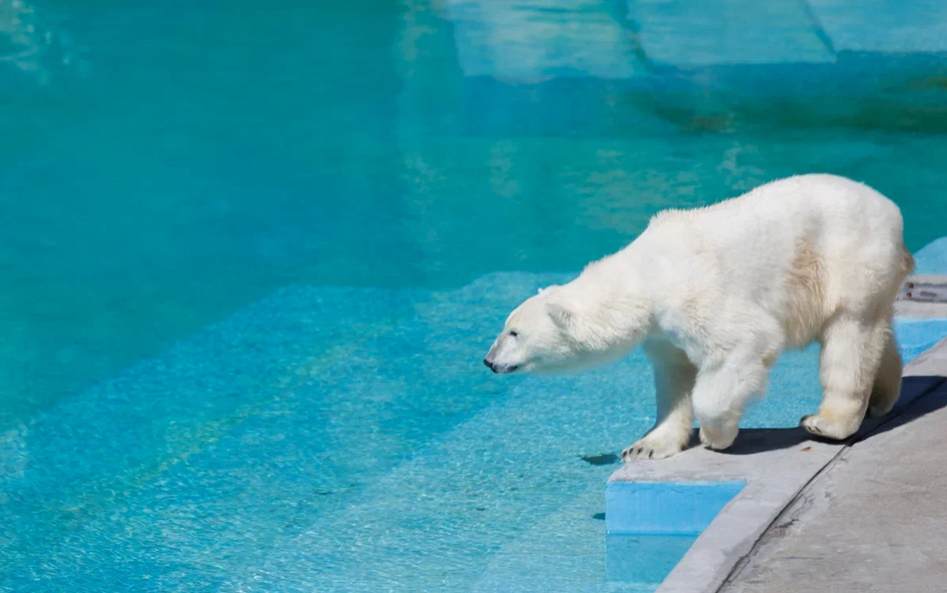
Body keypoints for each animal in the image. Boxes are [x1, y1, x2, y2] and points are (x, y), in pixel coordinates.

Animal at [483, 174, 914, 460]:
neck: (646, 274)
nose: (488, 361)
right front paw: (646, 446)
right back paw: (881, 397)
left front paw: (714, 435)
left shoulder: (695, 297)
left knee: (848, 338)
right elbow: (674, 377)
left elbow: (739, 347)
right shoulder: (660, 332)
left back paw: (826, 421)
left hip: (847, 260)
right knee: (875, 334)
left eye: (514, 333)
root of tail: (891, 209)